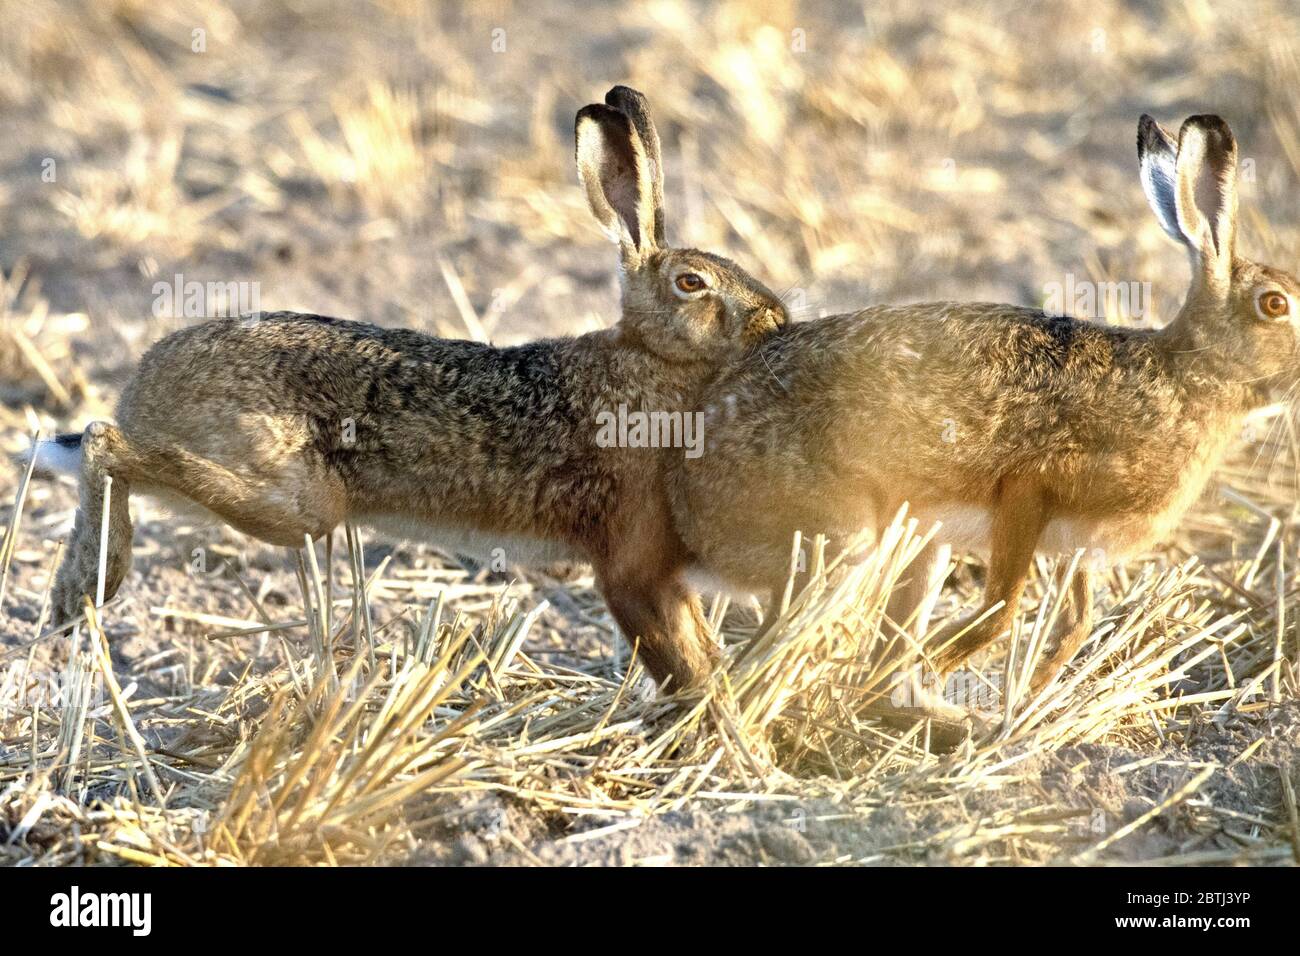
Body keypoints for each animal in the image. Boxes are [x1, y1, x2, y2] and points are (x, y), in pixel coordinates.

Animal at [28, 85, 789, 691]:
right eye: (692, 282)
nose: (775, 318)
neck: (650, 356)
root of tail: (145, 385)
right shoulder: (629, 548)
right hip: (293, 498)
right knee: (103, 443)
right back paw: (80, 588)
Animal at [669, 113, 1300, 697]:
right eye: (1275, 304)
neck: (1187, 378)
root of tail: (687, 496)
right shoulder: (1031, 488)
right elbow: (1000, 610)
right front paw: (940, 678)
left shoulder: (1078, 546)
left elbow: (1074, 624)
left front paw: (1027, 705)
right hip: (839, 534)